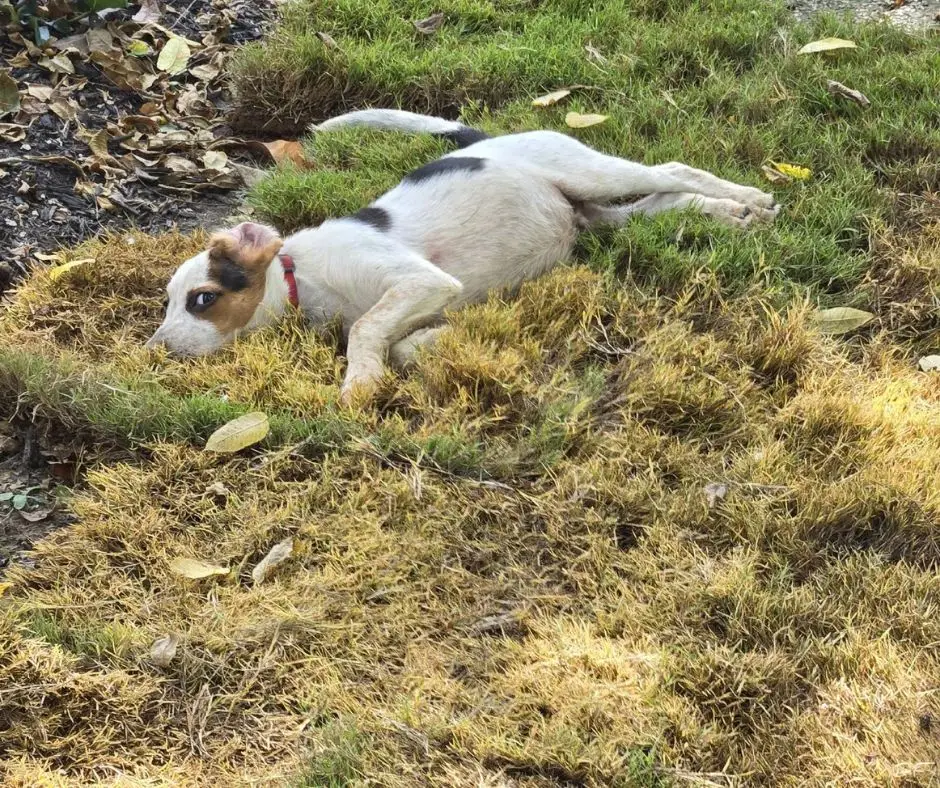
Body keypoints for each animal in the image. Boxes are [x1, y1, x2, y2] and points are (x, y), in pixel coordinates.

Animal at [147, 107, 780, 404]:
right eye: (168, 305)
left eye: (203, 299)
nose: (152, 354)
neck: (302, 277)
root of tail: (493, 141)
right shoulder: (428, 300)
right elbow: (398, 341)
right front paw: (425, 347)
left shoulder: (419, 281)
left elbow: (369, 329)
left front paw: (360, 382)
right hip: (602, 216)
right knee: (670, 199)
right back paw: (731, 214)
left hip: (593, 173)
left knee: (674, 170)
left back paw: (751, 198)